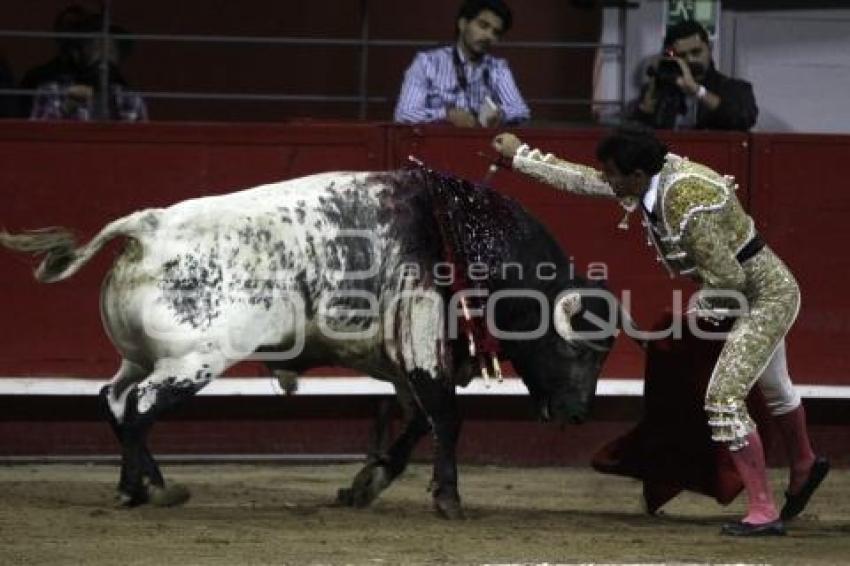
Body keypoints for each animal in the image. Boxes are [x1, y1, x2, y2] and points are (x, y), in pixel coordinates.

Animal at [0, 168, 608, 520]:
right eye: (580, 350)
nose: (578, 414)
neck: (459, 231)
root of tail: (147, 228)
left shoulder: (401, 363)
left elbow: (415, 424)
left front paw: (364, 486)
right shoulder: (421, 343)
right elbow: (446, 418)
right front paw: (449, 498)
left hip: (139, 356)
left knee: (113, 399)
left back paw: (133, 489)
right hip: (192, 361)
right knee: (140, 407)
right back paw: (156, 489)